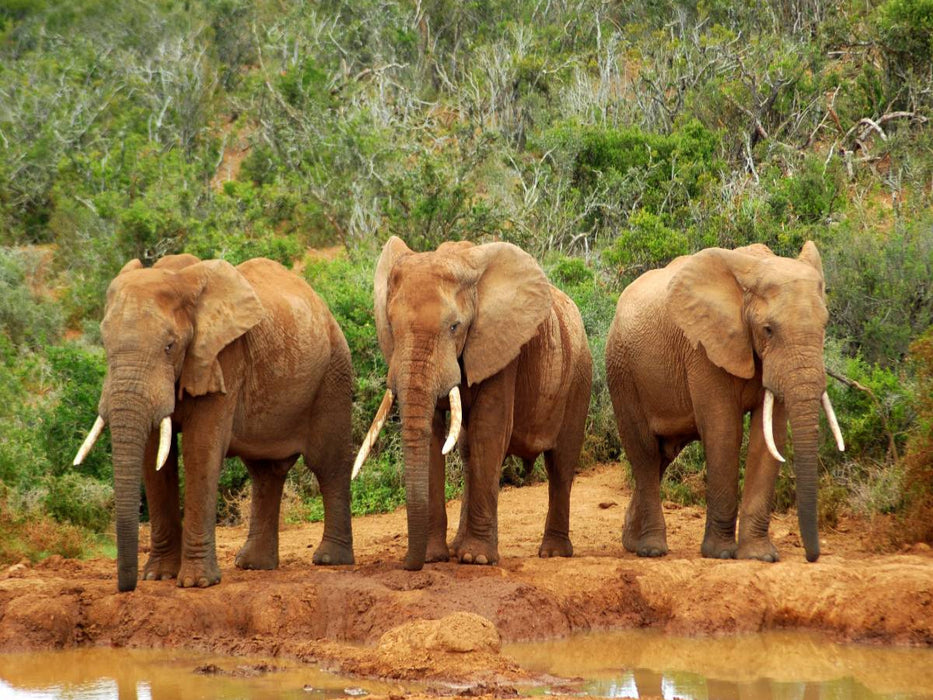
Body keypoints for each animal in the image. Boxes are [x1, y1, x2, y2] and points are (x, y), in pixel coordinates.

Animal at [74, 254, 355, 591]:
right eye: (104, 344)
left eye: (169, 346)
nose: (126, 587)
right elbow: (154, 458)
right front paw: (158, 576)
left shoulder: (223, 357)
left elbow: (200, 449)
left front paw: (196, 583)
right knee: (265, 472)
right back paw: (253, 565)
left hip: (334, 372)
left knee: (328, 464)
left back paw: (329, 560)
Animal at [354, 237, 593, 571]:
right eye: (391, 324)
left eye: (455, 327)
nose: (408, 564)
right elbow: (434, 438)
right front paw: (434, 557)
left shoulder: (502, 348)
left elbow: (488, 430)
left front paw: (477, 559)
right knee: (469, 455)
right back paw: (457, 548)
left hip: (579, 376)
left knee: (561, 461)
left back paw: (553, 553)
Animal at [605, 242, 845, 563]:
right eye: (768, 330)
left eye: (825, 325)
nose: (812, 556)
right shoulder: (703, 349)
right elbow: (724, 431)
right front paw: (721, 553)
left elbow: (769, 437)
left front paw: (759, 556)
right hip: (623, 371)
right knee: (644, 453)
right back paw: (652, 549)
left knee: (662, 456)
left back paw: (632, 543)